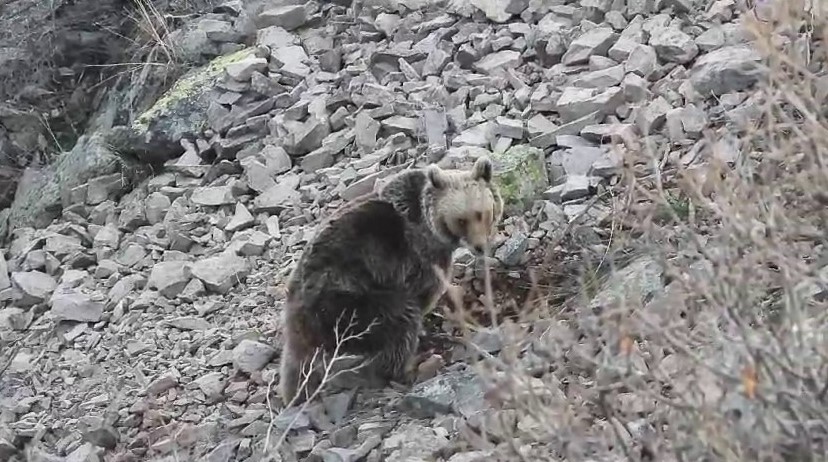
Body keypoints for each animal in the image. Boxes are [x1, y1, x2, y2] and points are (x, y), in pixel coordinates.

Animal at [278, 156, 502, 404]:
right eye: (461, 220)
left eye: (482, 213)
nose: (480, 246)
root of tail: (302, 316)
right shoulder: (418, 258)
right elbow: (425, 293)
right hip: (352, 302)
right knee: (400, 322)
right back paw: (408, 367)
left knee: (294, 361)